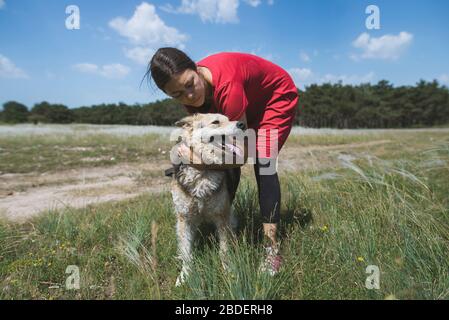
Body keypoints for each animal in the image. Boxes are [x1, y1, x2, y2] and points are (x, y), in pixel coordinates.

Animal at [167, 114, 245, 286]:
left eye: (228, 118)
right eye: (216, 122)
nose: (243, 124)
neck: (202, 170)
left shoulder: (222, 217)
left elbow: (224, 250)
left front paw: (228, 271)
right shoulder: (184, 219)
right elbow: (186, 252)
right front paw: (184, 276)